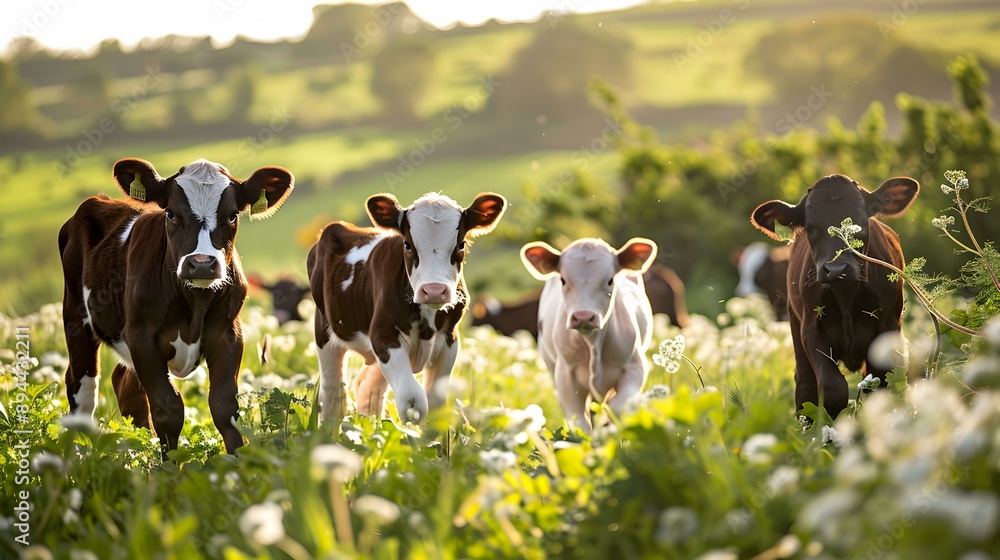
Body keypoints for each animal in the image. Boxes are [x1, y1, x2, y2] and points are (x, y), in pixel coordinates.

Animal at [59, 158, 292, 456]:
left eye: (232, 215)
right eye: (170, 214)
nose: (202, 263)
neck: (195, 302)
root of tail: (100, 199)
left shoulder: (228, 334)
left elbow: (224, 406)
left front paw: (237, 463)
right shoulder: (142, 337)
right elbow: (167, 408)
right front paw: (170, 466)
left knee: (125, 384)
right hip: (76, 317)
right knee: (82, 388)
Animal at [306, 192, 508, 424]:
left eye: (461, 244)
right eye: (408, 245)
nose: (434, 290)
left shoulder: (449, 339)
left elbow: (436, 405)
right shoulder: (382, 336)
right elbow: (413, 403)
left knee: (367, 386)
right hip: (325, 332)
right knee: (332, 393)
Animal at [520, 236, 660, 434]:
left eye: (610, 280)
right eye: (563, 280)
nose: (583, 316)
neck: (593, 342)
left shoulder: (635, 367)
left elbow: (617, 407)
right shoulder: (565, 374)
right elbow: (580, 422)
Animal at [752, 176, 920, 420]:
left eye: (860, 223)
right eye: (810, 228)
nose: (836, 269)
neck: (846, 297)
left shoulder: (887, 328)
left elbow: (880, 386)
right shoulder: (811, 330)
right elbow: (833, 389)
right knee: (805, 384)